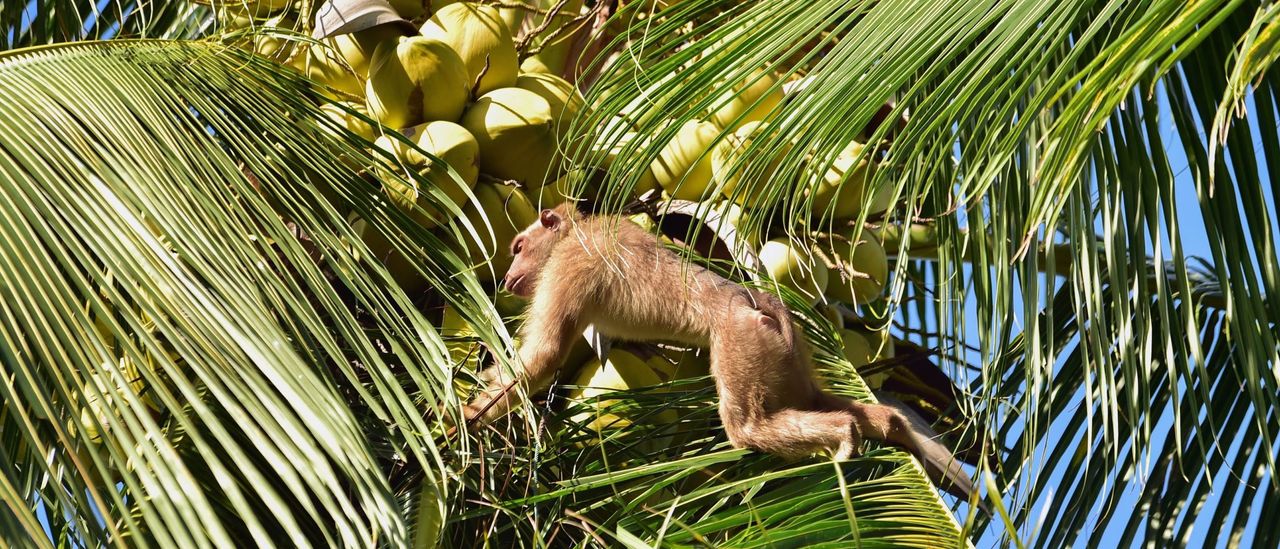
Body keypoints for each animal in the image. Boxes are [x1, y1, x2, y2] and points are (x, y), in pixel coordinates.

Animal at [465, 199, 983, 504]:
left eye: (518, 246)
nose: (507, 274)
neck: (581, 229)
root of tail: (761, 305)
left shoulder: (571, 261)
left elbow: (546, 354)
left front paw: (461, 422)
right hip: (791, 359)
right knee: (815, 399)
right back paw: (888, 426)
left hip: (741, 341)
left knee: (748, 426)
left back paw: (843, 433)